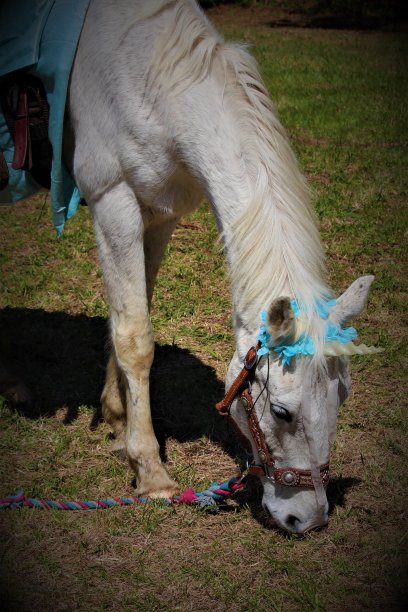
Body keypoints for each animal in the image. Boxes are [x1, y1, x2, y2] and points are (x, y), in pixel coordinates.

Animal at [63, 0, 380, 532]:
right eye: (282, 411)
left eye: (344, 398)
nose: (309, 519)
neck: (148, 74)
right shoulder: (113, 200)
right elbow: (135, 336)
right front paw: (150, 471)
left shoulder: (158, 209)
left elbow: (132, 306)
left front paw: (116, 413)